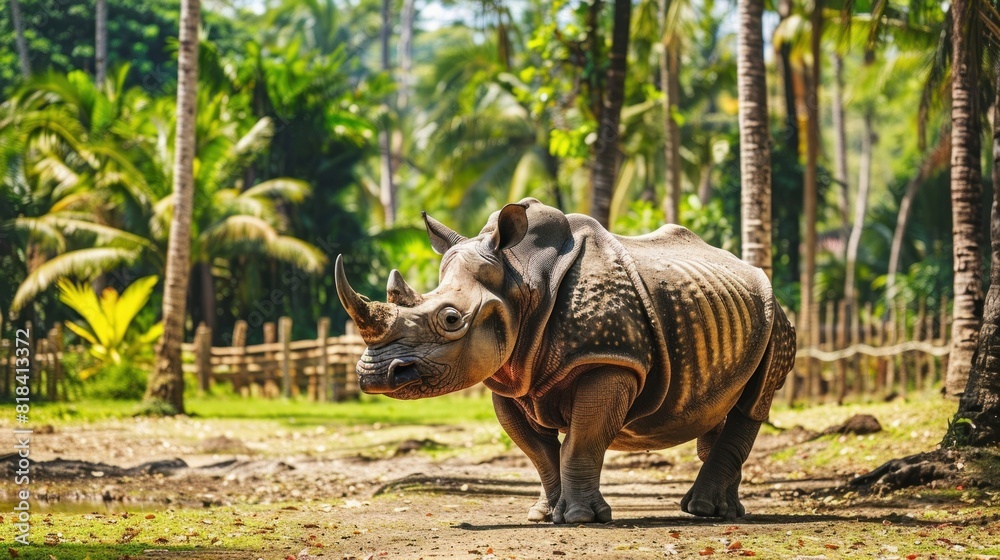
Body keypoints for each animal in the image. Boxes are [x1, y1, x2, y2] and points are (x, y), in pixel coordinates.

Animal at [335, 198, 796, 523]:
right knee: (716, 406)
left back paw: (703, 512)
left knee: (753, 404)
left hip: (776, 318)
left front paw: (578, 518)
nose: (375, 375)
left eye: (450, 320)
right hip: (726, 309)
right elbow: (538, 451)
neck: (520, 278)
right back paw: (722, 511)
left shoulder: (608, 358)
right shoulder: (510, 374)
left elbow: (583, 439)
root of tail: (749, 269)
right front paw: (543, 515)